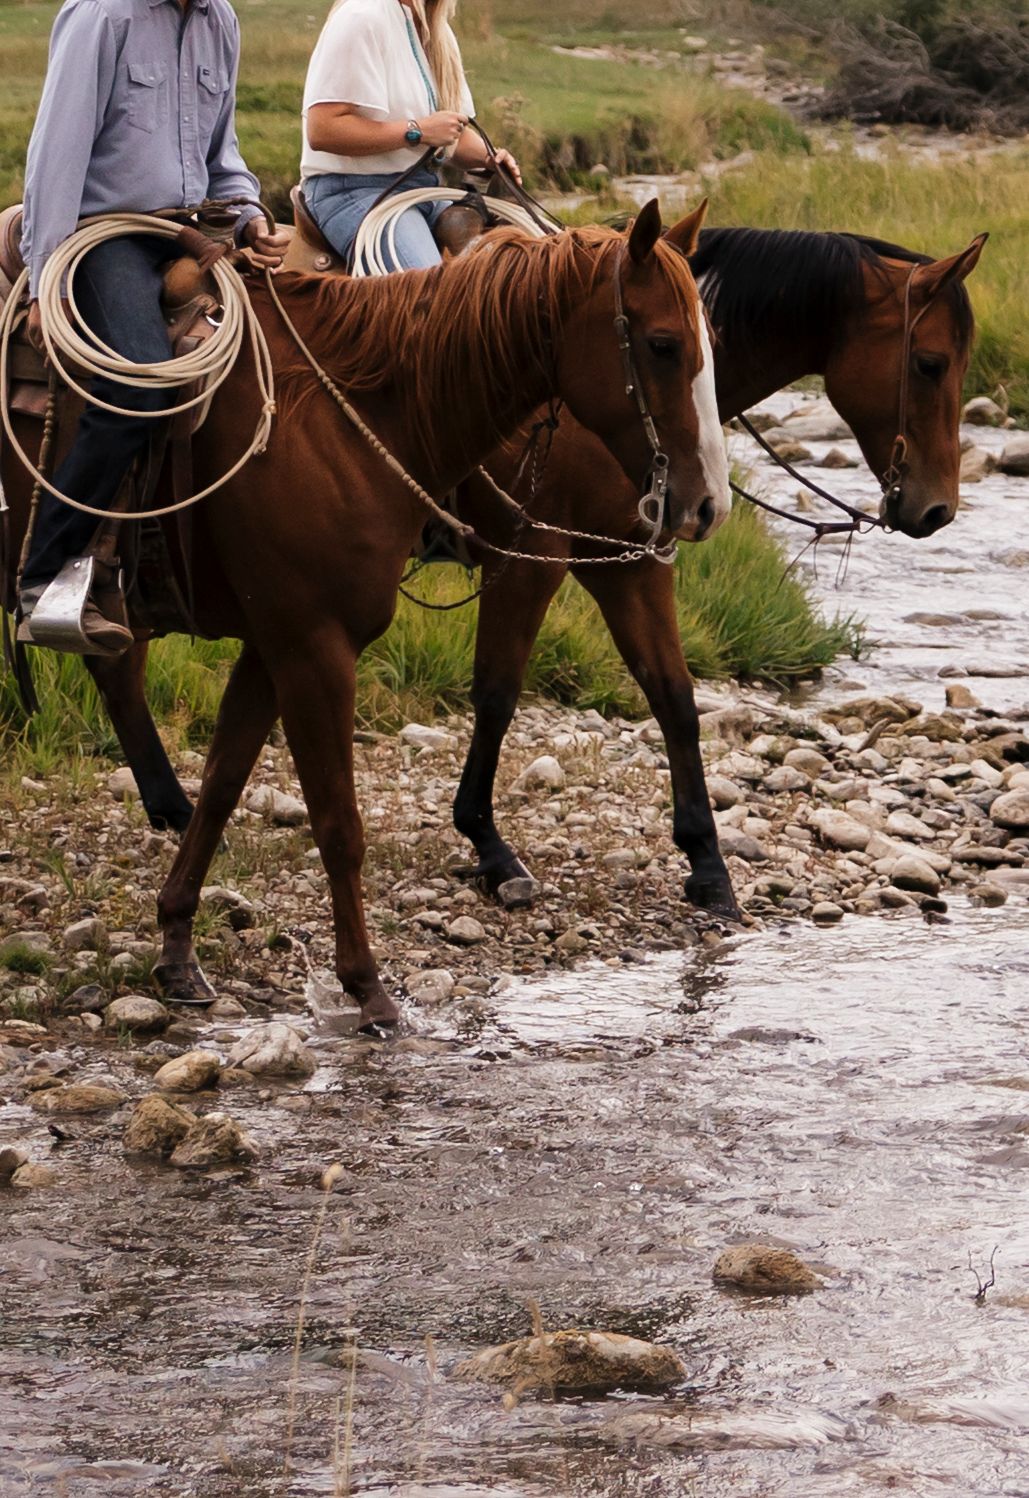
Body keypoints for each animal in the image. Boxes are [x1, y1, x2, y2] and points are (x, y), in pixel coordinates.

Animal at [1, 203, 727, 1027]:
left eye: (710, 341)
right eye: (663, 345)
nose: (706, 504)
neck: (346, 415)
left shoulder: (274, 646)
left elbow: (224, 785)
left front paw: (178, 949)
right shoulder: (327, 642)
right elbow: (343, 816)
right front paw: (369, 983)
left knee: (122, 671)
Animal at [445, 225, 985, 919]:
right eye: (930, 363)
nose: (939, 509)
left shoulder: (634, 562)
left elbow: (674, 697)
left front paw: (707, 863)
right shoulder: (529, 558)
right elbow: (496, 694)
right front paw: (487, 844)